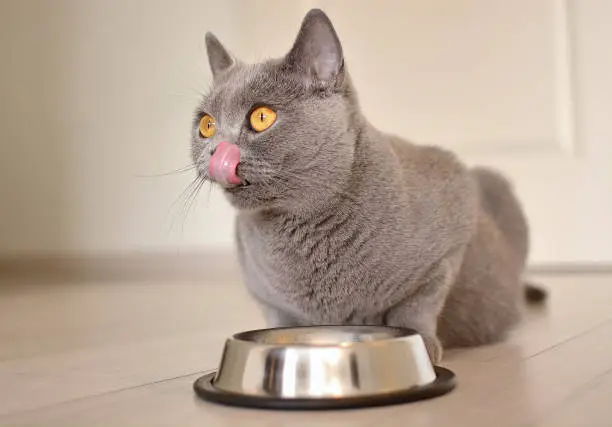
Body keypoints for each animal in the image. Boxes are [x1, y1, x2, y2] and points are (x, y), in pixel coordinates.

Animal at [191, 8, 544, 362]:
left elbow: (418, 304)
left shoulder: (453, 230)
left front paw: (422, 344)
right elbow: (279, 319)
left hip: (492, 182)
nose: (215, 152)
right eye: (206, 125)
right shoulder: (264, 294)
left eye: (261, 117)